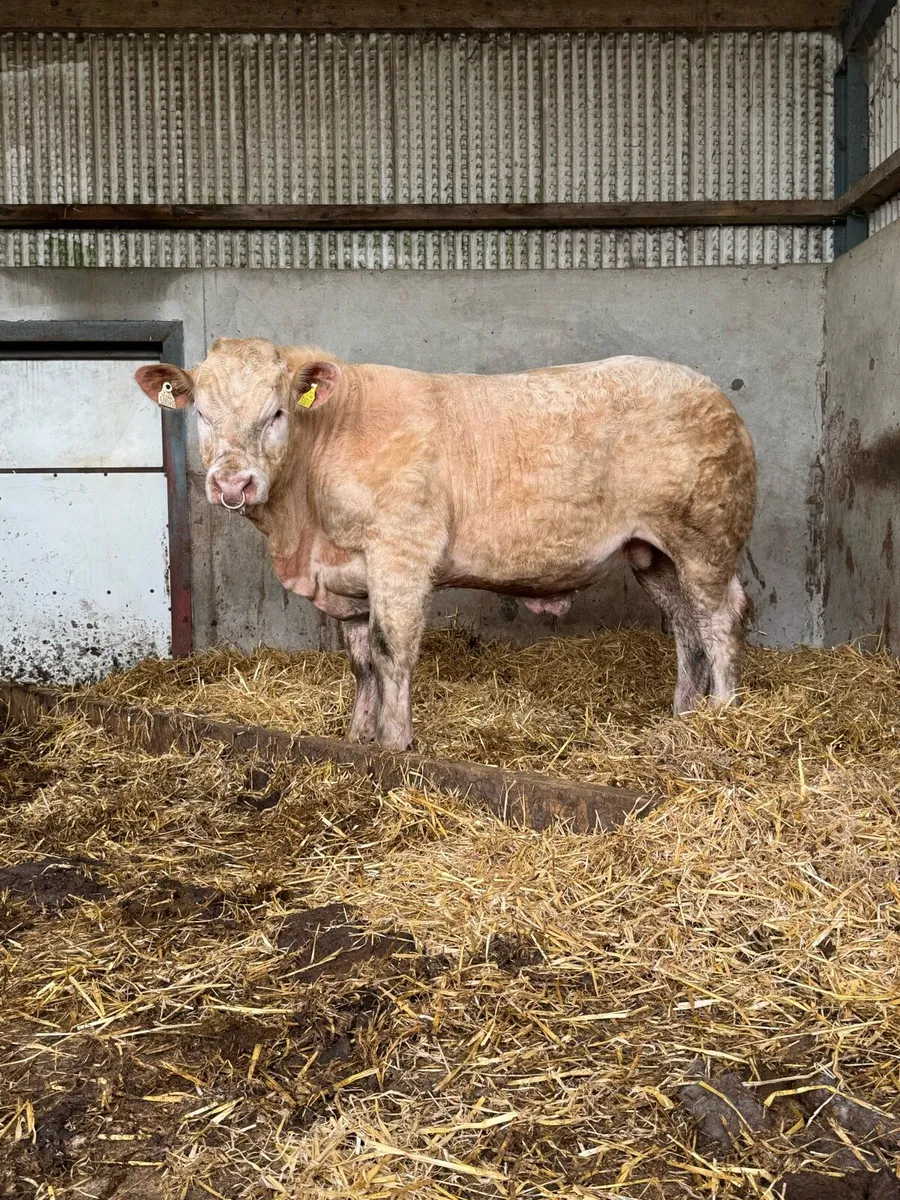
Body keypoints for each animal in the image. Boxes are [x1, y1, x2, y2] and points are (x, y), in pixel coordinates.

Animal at [135, 339, 756, 751]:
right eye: (202, 414)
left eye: (277, 413)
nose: (232, 483)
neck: (305, 530)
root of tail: (708, 389)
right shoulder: (349, 577)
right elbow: (361, 662)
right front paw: (357, 738)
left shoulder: (401, 551)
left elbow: (392, 650)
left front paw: (396, 745)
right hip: (653, 553)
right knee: (686, 627)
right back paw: (682, 716)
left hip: (706, 539)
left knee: (721, 617)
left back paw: (723, 716)